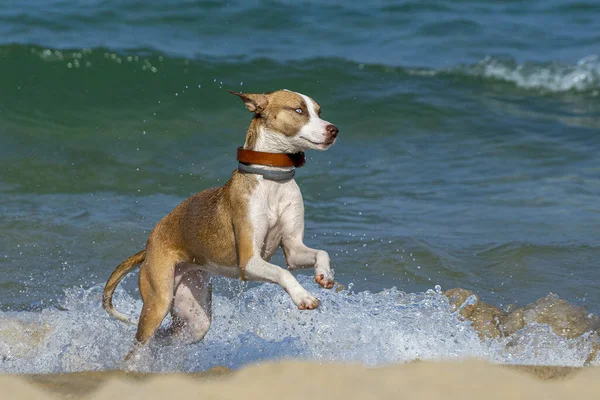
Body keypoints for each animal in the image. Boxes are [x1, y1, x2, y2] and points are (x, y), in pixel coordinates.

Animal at [101, 88, 340, 360]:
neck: (273, 179)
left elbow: (320, 253)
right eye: (299, 110)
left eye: (319, 111)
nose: (334, 129)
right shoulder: (249, 262)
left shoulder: (293, 249)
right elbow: (283, 272)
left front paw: (324, 275)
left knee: (166, 338)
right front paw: (303, 297)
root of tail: (148, 247)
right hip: (157, 302)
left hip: (194, 318)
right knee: (138, 346)